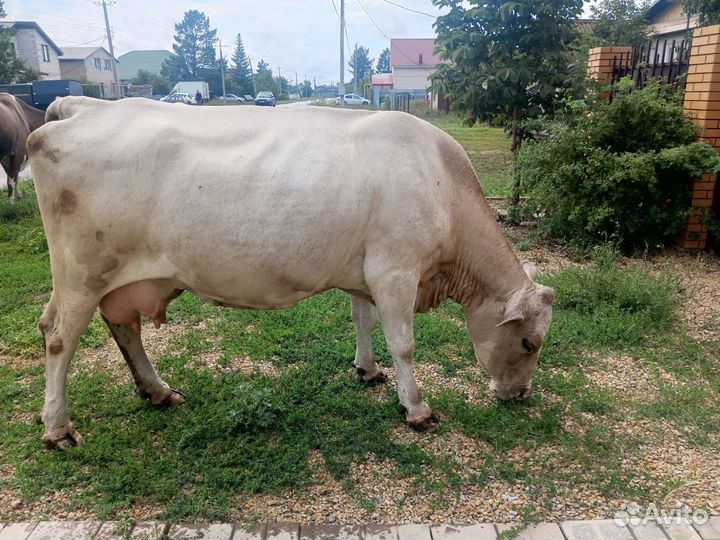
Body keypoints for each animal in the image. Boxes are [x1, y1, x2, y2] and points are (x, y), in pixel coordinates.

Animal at [28, 96, 555, 450]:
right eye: (529, 343)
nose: (521, 395)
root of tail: (82, 106)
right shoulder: (395, 269)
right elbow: (404, 344)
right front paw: (417, 410)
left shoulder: (365, 270)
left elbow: (363, 320)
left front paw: (367, 370)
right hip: (81, 272)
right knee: (57, 336)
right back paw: (57, 428)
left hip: (115, 278)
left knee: (123, 327)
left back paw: (157, 392)